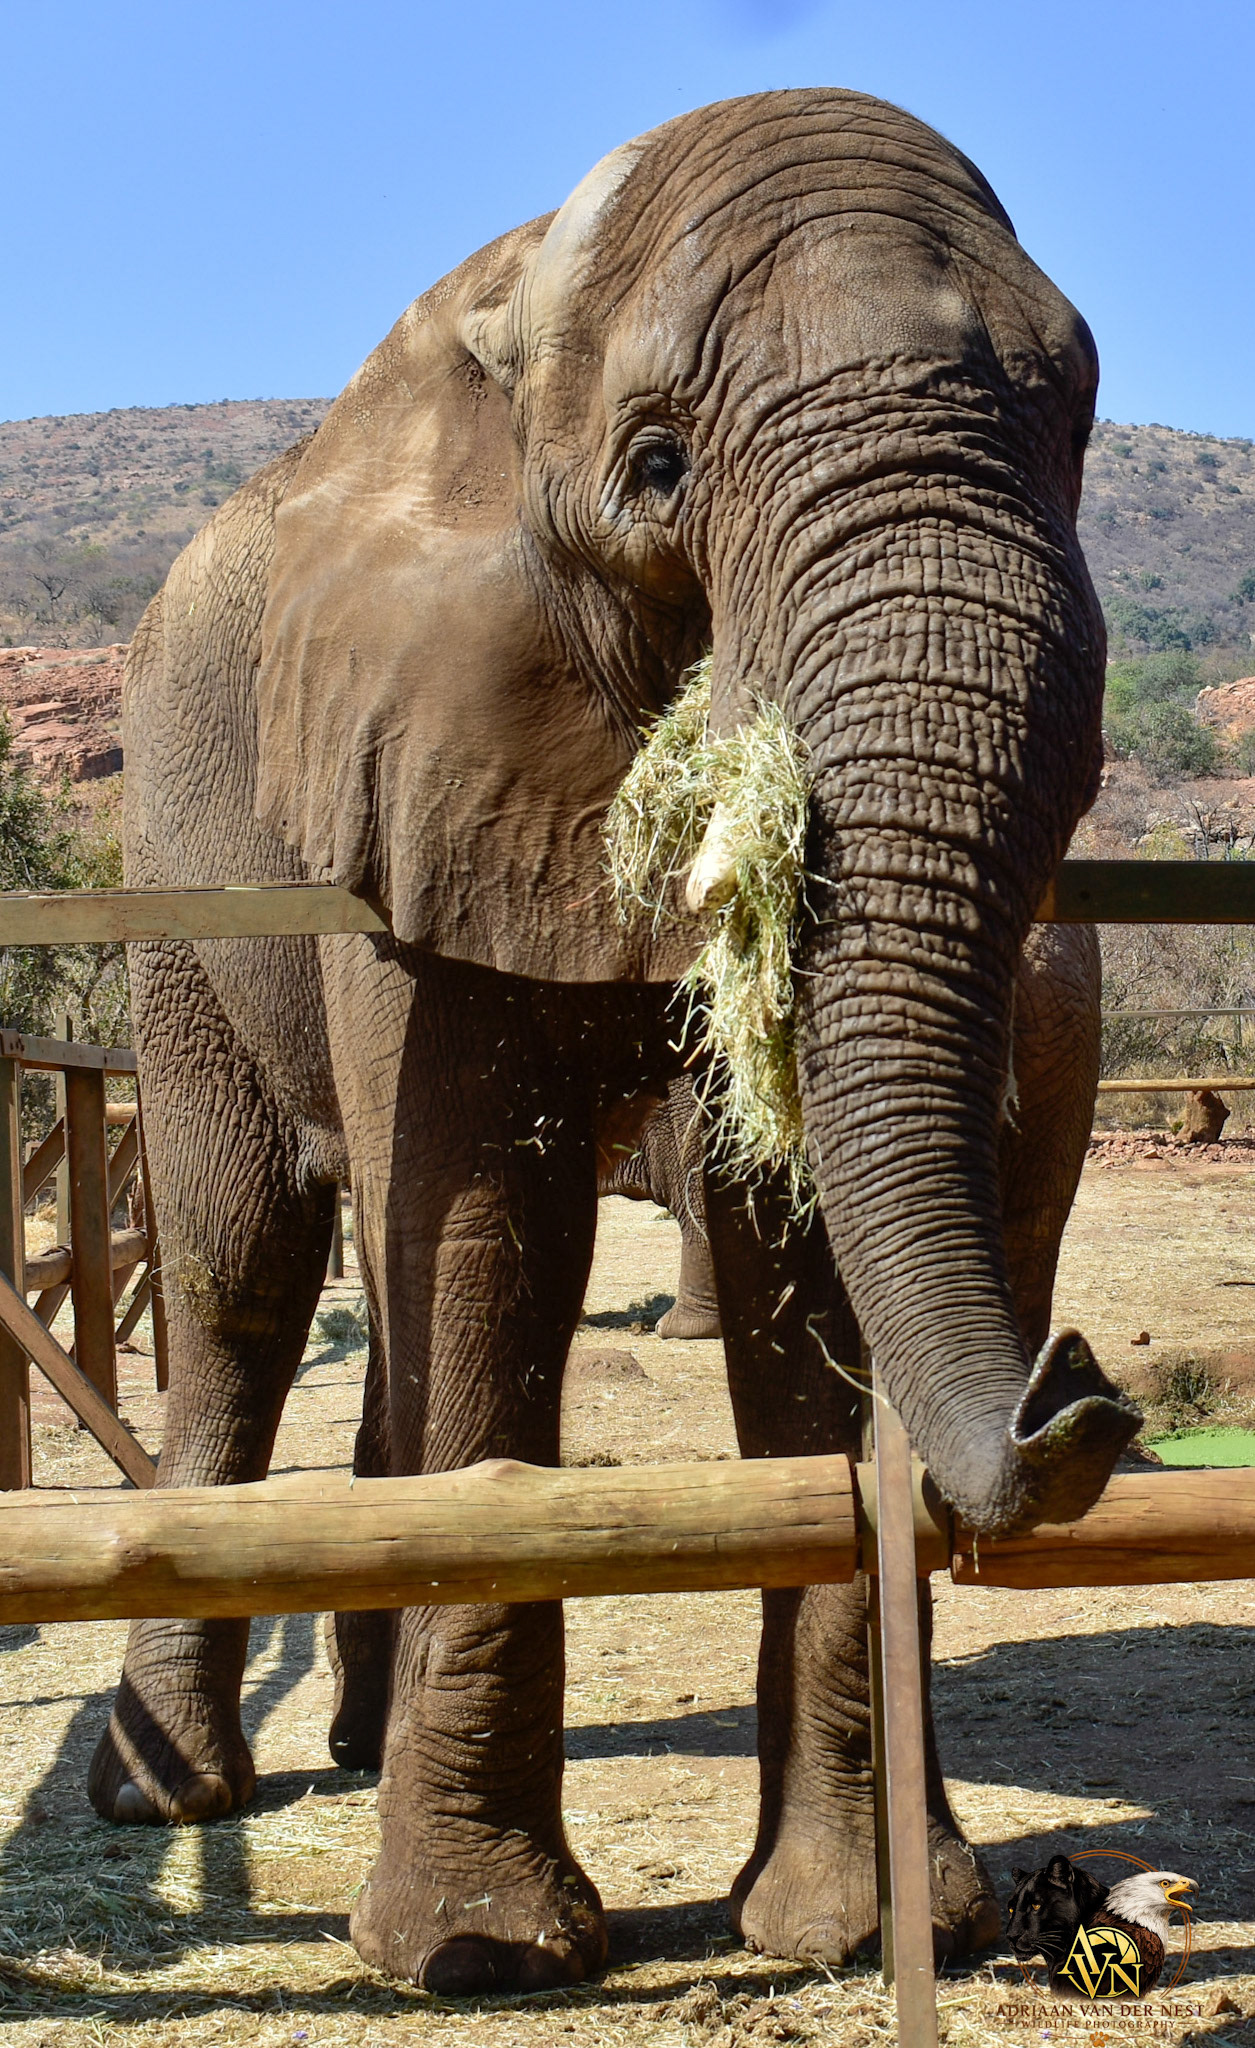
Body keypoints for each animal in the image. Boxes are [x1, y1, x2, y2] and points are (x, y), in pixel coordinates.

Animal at [95, 89, 1139, 1993]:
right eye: (657, 471)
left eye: (1076, 421)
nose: (1075, 1392)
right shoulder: (411, 763)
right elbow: (485, 1234)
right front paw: (475, 1956)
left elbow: (797, 1275)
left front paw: (848, 1930)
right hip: (177, 879)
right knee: (243, 1269)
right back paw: (168, 1798)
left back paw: (350, 1739)